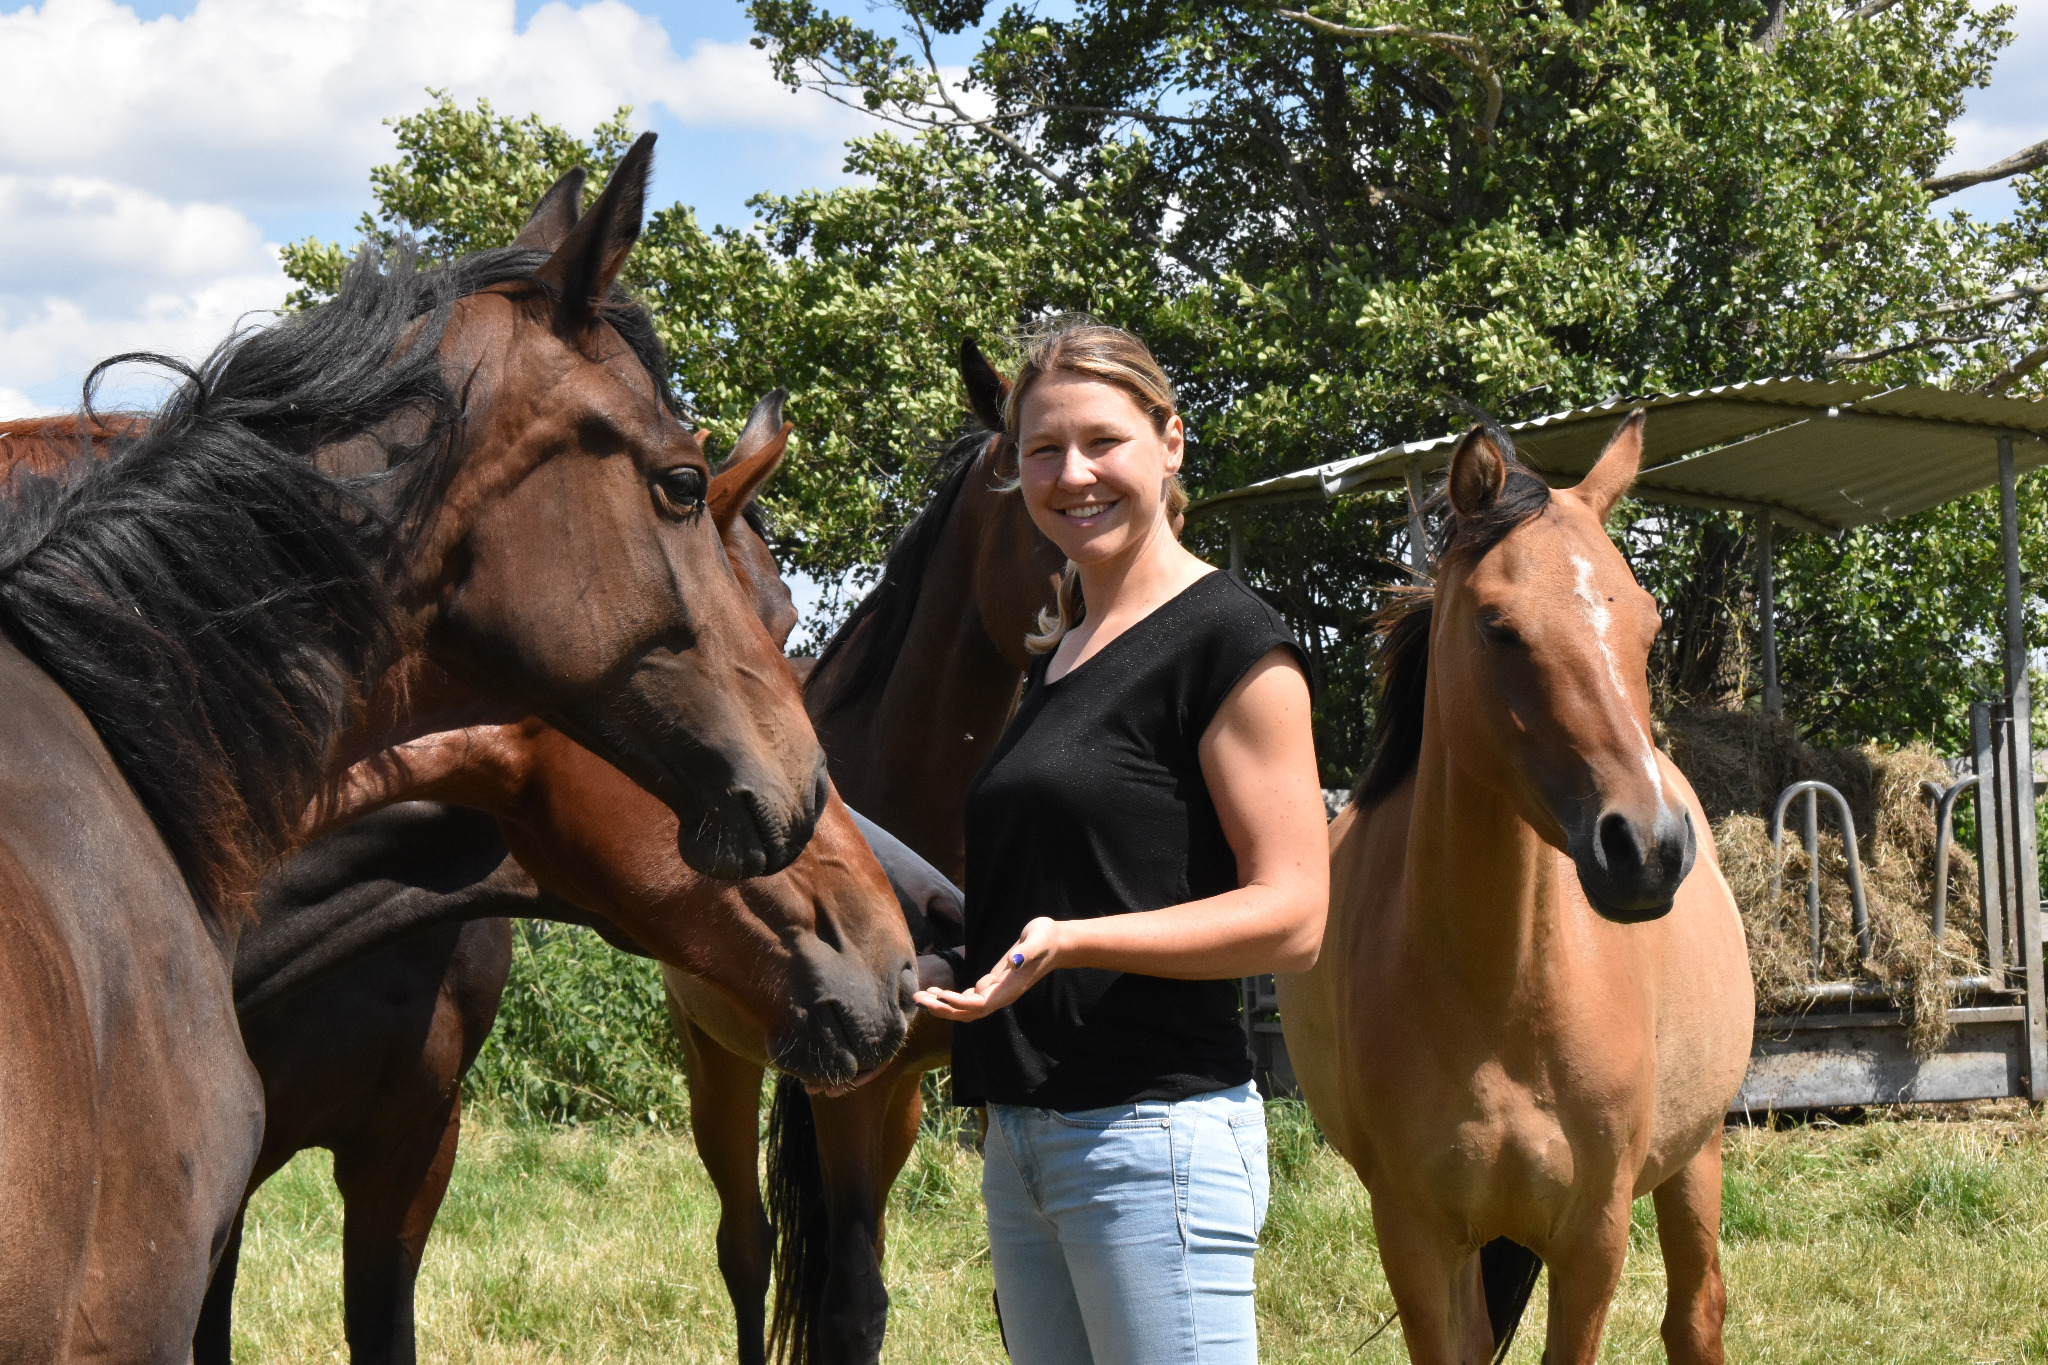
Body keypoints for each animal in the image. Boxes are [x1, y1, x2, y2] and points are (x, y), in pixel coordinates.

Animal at [663, 338, 1063, 1364]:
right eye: (1037, 488)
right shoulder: (845, 1089)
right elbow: (849, 1303)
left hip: (903, 1101)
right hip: (720, 1059)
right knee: (748, 1248)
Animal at [1278, 416, 1754, 1365]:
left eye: (1648, 624)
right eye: (1499, 628)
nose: (1647, 848)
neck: (1500, 993)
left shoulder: (1594, 1236)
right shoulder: (1418, 1239)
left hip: (1696, 1153)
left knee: (1694, 1316)